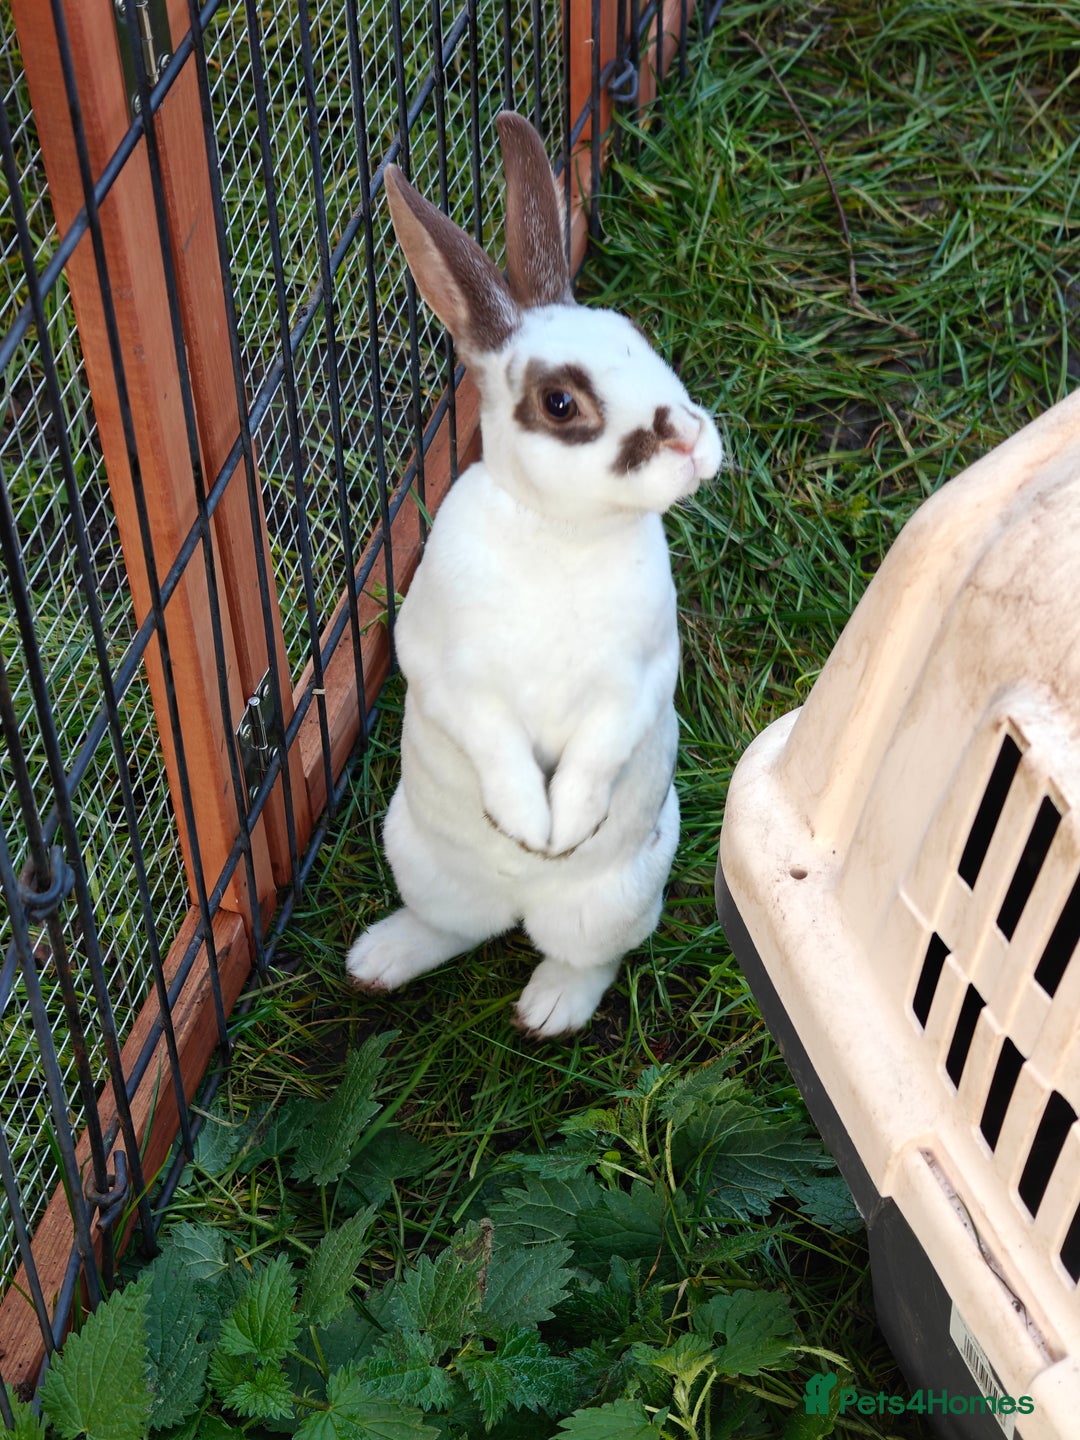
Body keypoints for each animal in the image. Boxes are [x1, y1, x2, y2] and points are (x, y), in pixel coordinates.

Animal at [344, 111, 722, 1038]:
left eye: (642, 341)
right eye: (560, 404)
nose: (693, 441)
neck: (564, 537)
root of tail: (518, 907)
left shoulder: (635, 680)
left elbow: (594, 751)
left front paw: (562, 832)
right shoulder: (449, 671)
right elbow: (494, 739)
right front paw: (526, 824)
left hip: (617, 898)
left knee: (586, 956)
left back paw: (545, 1011)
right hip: (415, 853)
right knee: (453, 926)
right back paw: (377, 963)